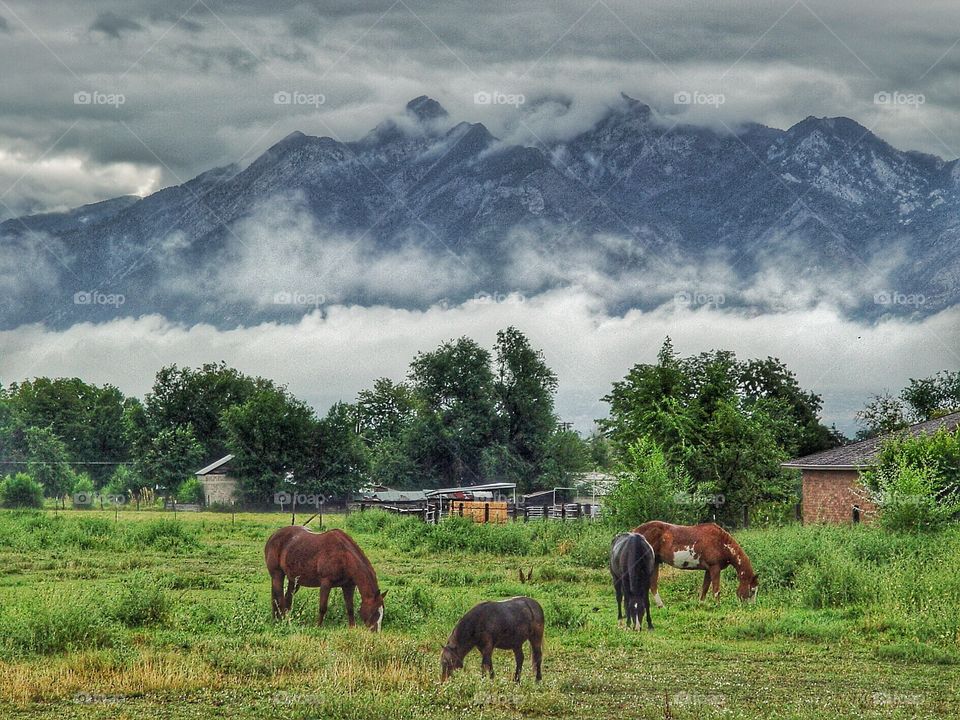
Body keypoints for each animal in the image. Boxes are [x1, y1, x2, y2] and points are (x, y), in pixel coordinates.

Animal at [632, 520, 760, 604]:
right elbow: (716, 590)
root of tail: (635, 531)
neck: (721, 543)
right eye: (752, 590)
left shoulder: (709, 570)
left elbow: (704, 589)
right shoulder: (715, 568)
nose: (751, 607)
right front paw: (718, 606)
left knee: (652, 585)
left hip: (654, 563)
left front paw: (701, 605)